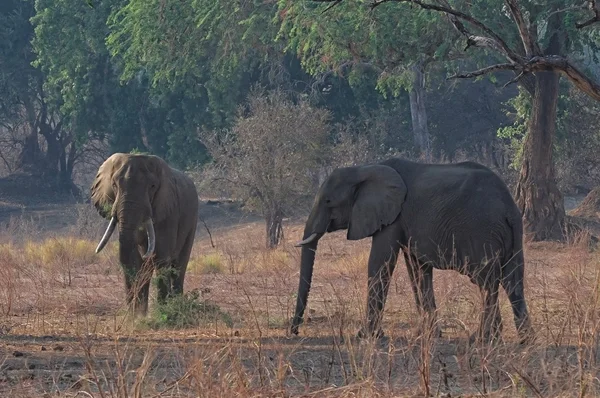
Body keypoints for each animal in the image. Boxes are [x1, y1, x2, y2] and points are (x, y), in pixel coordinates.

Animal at [91, 153, 198, 318]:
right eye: (114, 185)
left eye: (152, 186)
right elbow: (134, 261)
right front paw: (136, 317)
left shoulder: (169, 211)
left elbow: (161, 258)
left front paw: (162, 313)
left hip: (192, 219)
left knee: (179, 266)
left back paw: (176, 307)